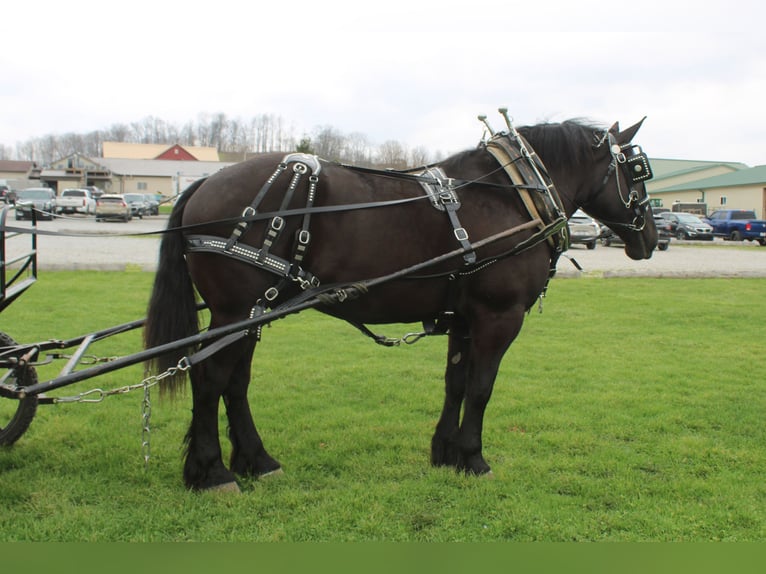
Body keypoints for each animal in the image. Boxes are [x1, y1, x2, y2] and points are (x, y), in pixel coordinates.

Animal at [144, 115, 658, 491]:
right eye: (638, 170)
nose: (650, 240)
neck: (512, 196)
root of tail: (204, 183)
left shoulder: (463, 319)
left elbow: (456, 384)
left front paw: (445, 453)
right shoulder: (498, 316)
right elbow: (481, 388)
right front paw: (474, 458)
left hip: (253, 311)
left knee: (236, 382)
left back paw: (257, 460)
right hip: (234, 312)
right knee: (210, 379)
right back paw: (212, 472)